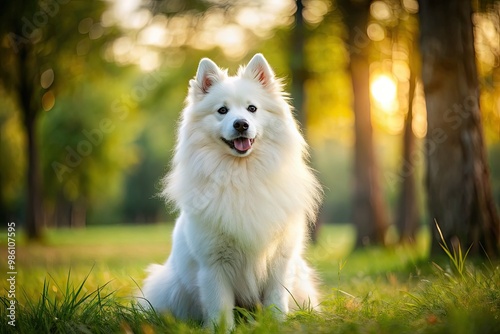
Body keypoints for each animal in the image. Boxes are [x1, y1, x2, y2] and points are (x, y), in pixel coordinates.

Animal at [141, 53, 322, 328]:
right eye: (222, 110)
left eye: (252, 108)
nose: (241, 124)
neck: (242, 176)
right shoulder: (213, 264)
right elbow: (220, 308)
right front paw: (221, 329)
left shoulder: (280, 261)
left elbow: (276, 301)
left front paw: (275, 325)